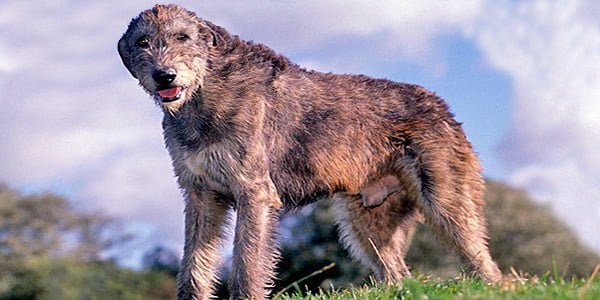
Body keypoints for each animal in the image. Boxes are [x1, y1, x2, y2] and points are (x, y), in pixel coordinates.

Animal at [117, 4, 502, 300]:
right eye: (143, 42)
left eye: (182, 37)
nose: (164, 76)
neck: (204, 93)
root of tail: (442, 105)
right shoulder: (201, 195)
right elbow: (194, 265)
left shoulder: (254, 192)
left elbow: (246, 262)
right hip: (367, 221)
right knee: (398, 273)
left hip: (446, 200)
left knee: (484, 262)